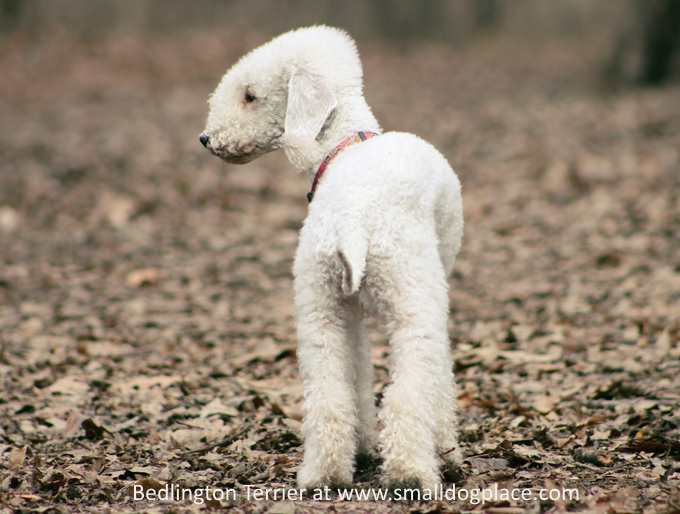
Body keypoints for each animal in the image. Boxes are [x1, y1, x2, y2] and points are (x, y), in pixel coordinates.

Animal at [201, 25, 462, 488]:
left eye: (250, 95)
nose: (206, 139)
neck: (344, 144)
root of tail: (353, 223)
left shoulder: (344, 308)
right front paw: (447, 452)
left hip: (319, 305)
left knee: (328, 395)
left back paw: (324, 473)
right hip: (411, 299)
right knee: (407, 393)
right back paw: (412, 474)